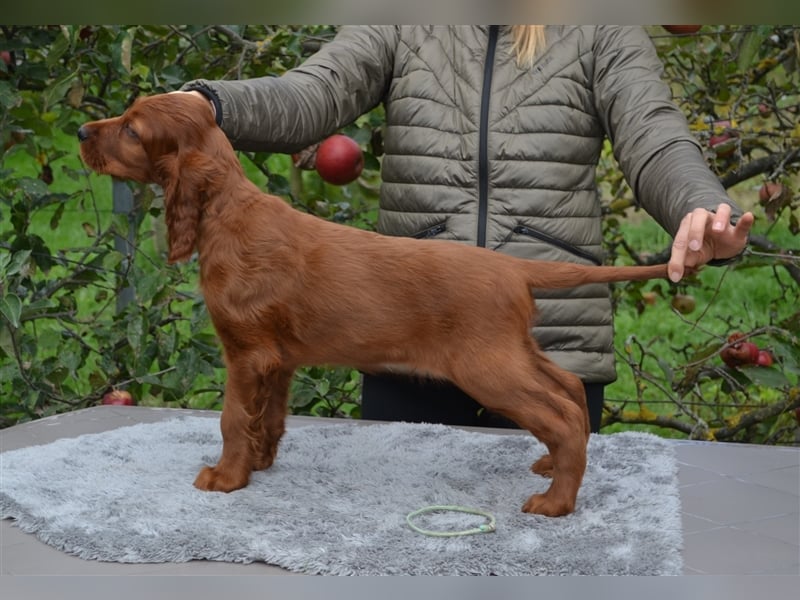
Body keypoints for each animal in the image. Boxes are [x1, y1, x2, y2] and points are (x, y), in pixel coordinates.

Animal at [79, 94, 668, 516]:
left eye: (132, 129)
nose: (83, 132)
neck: (226, 212)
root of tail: (512, 267)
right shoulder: (277, 360)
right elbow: (268, 416)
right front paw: (259, 464)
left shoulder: (245, 353)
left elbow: (231, 418)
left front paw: (225, 479)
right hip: (512, 351)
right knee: (568, 388)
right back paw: (552, 465)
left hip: (485, 365)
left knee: (561, 414)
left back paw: (557, 503)